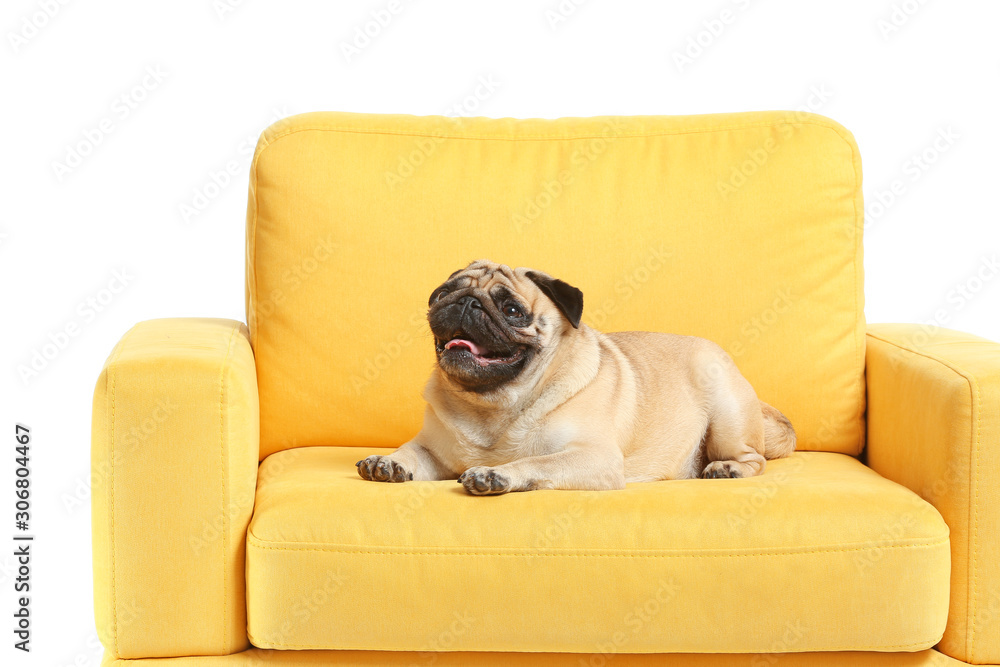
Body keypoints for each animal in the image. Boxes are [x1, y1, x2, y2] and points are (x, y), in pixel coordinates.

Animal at [356, 260, 792, 496]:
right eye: (442, 293)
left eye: (512, 310)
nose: (466, 302)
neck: (495, 406)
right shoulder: (433, 450)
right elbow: (411, 452)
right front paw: (389, 461)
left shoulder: (592, 457)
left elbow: (537, 461)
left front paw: (497, 473)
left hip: (727, 415)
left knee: (753, 459)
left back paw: (727, 469)